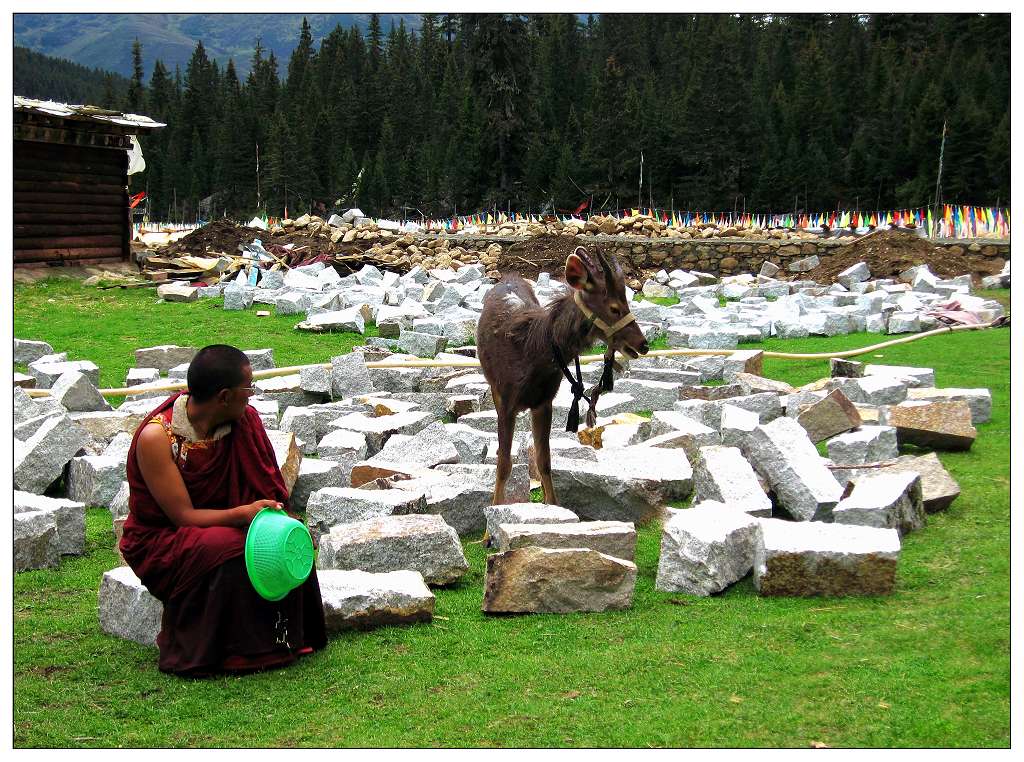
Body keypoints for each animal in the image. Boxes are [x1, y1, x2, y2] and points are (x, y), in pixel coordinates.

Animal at [477, 243, 647, 505]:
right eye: (614, 308)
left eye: (627, 303)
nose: (643, 344)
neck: (532, 357)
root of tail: (510, 276)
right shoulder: (505, 399)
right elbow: (504, 463)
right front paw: (494, 508)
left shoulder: (544, 401)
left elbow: (544, 461)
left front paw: (553, 504)